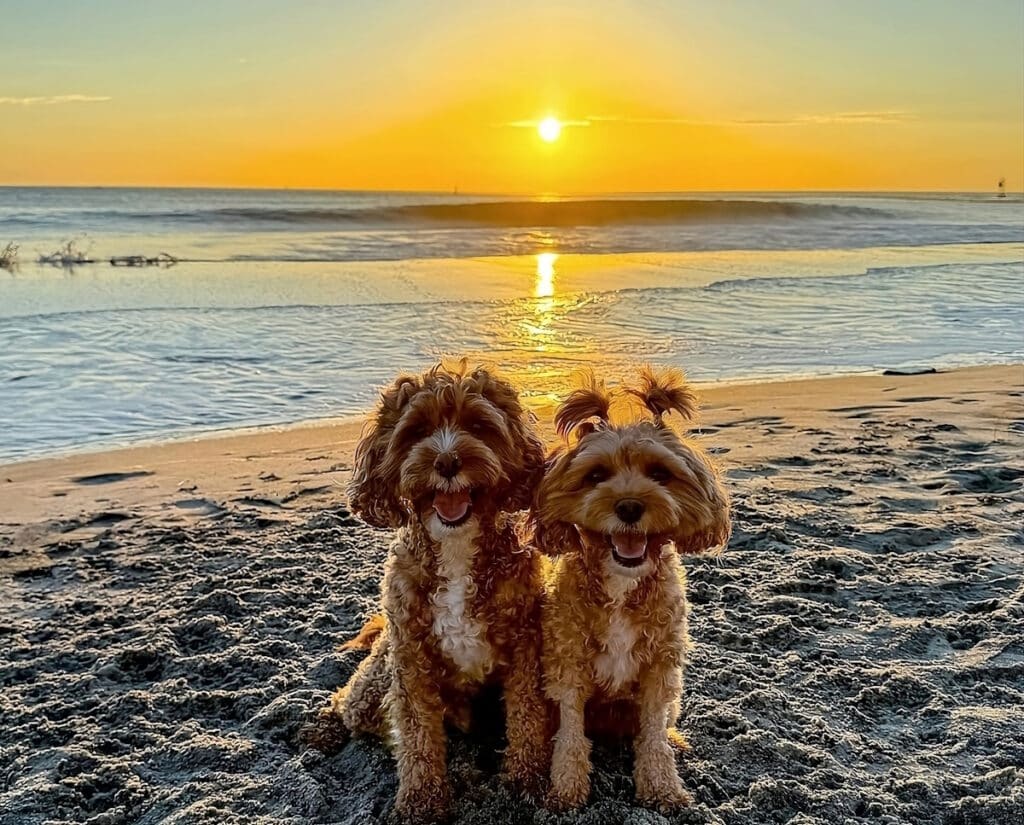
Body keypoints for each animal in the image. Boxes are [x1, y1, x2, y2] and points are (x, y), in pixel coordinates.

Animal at [305, 364, 552, 822]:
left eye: (478, 426)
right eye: (416, 430)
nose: (447, 461)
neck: (455, 546)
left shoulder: (524, 644)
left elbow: (527, 713)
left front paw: (529, 777)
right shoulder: (410, 657)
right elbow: (418, 735)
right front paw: (421, 801)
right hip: (376, 678)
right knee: (346, 700)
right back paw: (321, 730)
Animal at [532, 370, 733, 814]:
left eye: (660, 473)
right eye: (595, 475)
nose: (628, 506)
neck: (622, 584)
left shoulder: (661, 669)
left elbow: (653, 735)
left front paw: (662, 786)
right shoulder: (568, 665)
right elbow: (571, 735)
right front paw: (567, 788)